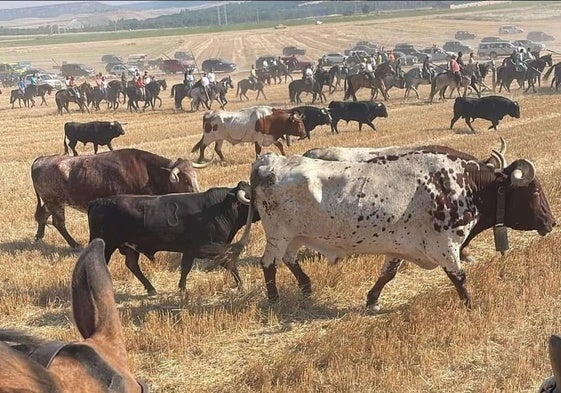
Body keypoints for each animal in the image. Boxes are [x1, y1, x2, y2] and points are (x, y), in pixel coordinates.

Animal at [30, 147, 207, 248]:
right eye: (185, 180)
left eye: (195, 176)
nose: (198, 194)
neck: (148, 171)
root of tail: (40, 159)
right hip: (55, 201)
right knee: (58, 223)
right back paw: (75, 245)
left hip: (51, 202)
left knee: (42, 216)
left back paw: (39, 237)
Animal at [88, 181, 260, 294]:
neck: (218, 209)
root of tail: (98, 201)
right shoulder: (206, 247)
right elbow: (228, 261)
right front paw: (241, 284)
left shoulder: (189, 250)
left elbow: (185, 267)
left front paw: (182, 288)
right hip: (106, 245)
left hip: (130, 246)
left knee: (132, 265)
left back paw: (151, 289)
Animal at [211, 145, 556, 308]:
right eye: (534, 192)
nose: (551, 222)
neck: (463, 184)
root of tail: (268, 161)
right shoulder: (444, 246)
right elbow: (459, 277)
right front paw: (471, 304)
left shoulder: (400, 245)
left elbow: (388, 273)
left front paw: (372, 299)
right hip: (278, 235)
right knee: (268, 263)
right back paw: (274, 299)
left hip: (296, 236)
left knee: (289, 260)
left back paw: (306, 286)